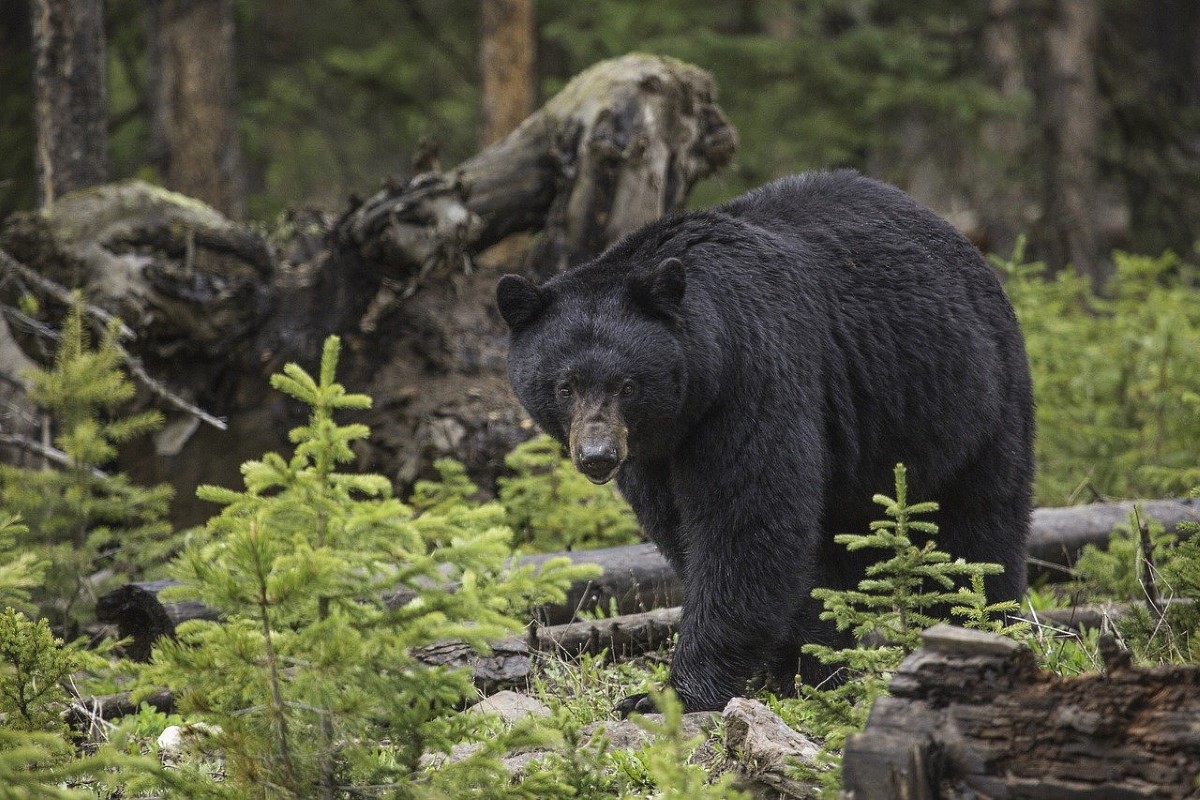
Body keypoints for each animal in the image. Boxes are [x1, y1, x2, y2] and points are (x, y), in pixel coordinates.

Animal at [494, 170, 1032, 714]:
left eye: (627, 384)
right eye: (565, 385)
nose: (598, 456)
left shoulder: (753, 376)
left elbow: (747, 522)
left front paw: (672, 693)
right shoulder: (656, 451)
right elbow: (683, 527)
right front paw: (799, 663)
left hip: (970, 401)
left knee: (978, 527)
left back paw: (978, 626)